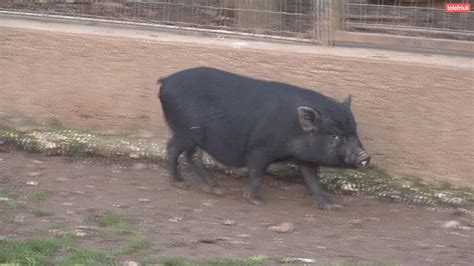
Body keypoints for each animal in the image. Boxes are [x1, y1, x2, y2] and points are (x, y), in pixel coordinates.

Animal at [159, 67, 370, 210]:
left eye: (355, 130)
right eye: (334, 134)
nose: (364, 156)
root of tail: (165, 80)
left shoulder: (305, 158)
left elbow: (312, 179)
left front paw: (331, 205)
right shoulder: (259, 149)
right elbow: (256, 172)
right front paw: (256, 201)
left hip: (192, 136)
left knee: (190, 156)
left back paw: (213, 187)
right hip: (185, 132)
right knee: (173, 149)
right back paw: (181, 183)